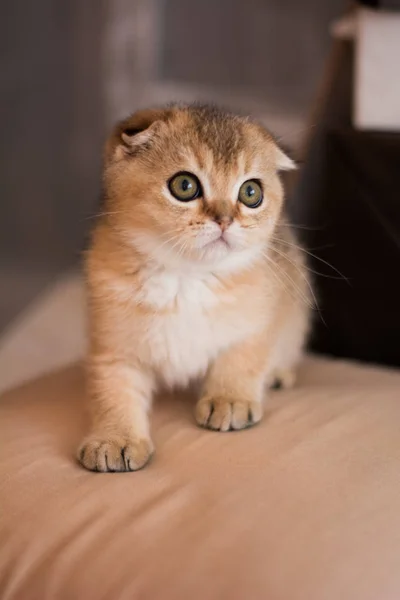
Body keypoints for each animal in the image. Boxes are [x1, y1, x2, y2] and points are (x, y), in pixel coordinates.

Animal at [77, 106, 310, 474]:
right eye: (184, 186)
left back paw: (278, 374)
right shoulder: (112, 344)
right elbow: (112, 391)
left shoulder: (259, 319)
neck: (186, 278)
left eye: (251, 193)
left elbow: (242, 358)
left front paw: (228, 398)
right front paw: (114, 438)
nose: (225, 220)